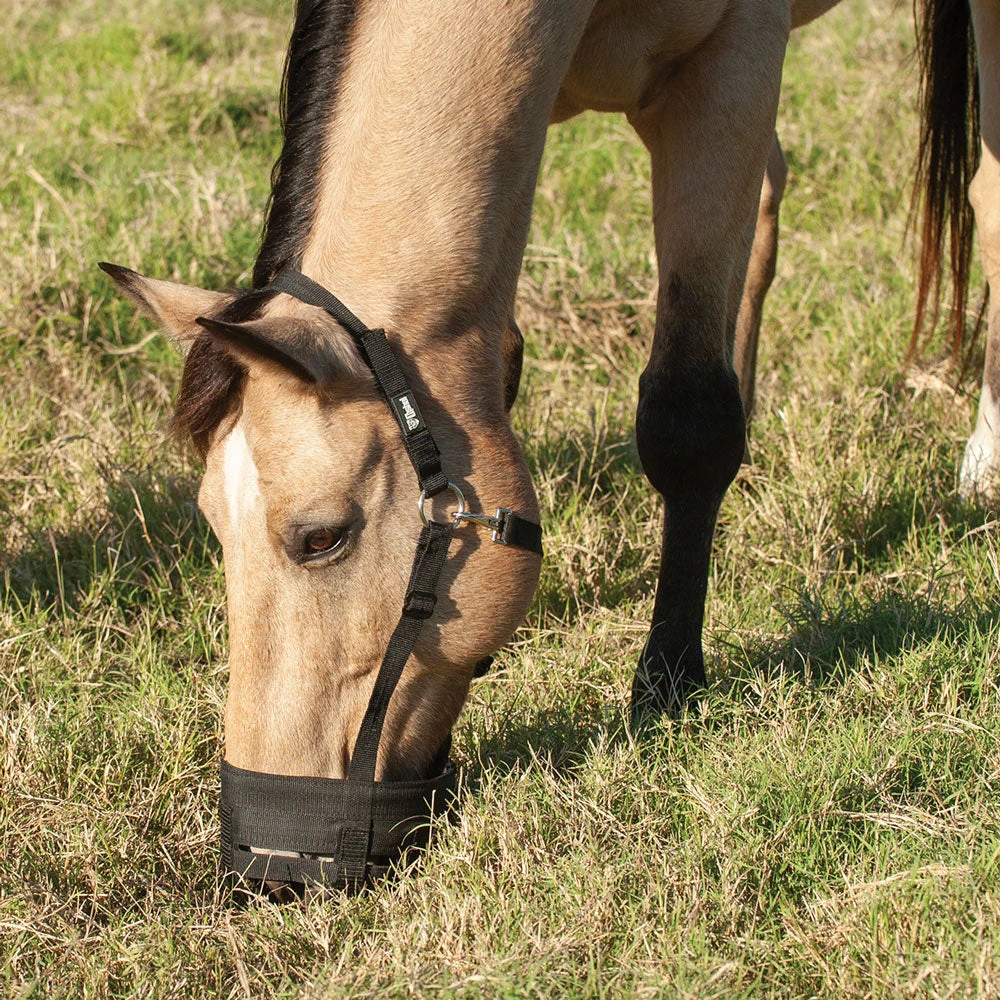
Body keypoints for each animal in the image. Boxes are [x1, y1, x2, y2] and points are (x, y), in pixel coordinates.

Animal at [100, 0, 994, 886]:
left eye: (320, 538)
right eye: (212, 527)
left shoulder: (730, 65)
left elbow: (690, 419)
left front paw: (668, 685)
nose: (267, 855)